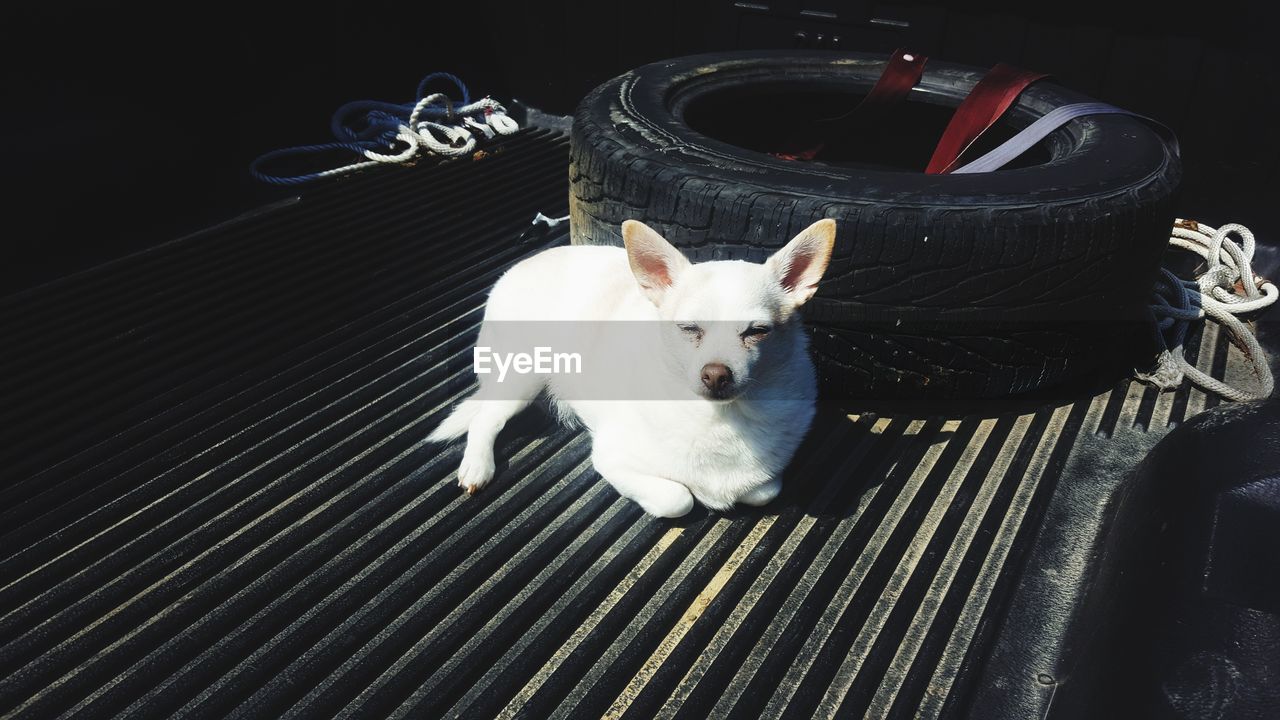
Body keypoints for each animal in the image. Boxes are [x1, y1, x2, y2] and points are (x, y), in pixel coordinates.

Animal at [424, 215, 834, 512]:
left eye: (757, 331)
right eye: (688, 328)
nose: (716, 374)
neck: (723, 420)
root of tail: (518, 268)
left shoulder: (765, 483)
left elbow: (762, 490)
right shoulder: (612, 460)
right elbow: (677, 499)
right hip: (523, 377)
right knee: (486, 418)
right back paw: (477, 466)